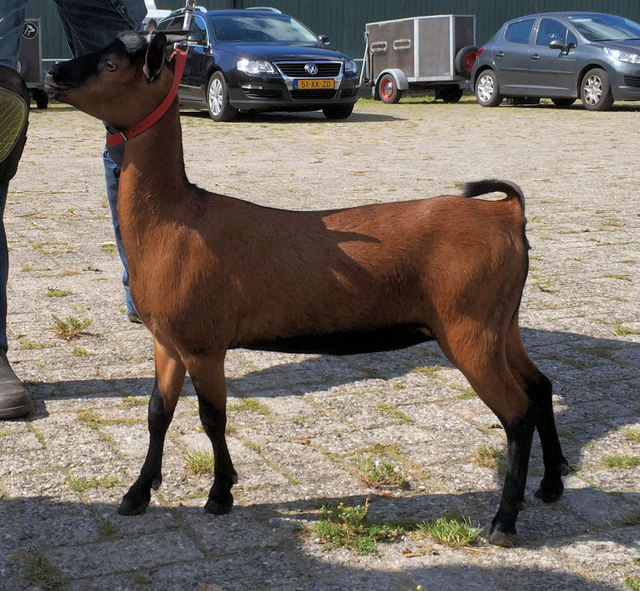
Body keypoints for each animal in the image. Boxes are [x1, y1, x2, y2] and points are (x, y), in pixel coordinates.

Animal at [45, 32, 568, 546]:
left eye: (111, 64)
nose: (55, 74)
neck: (175, 220)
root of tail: (506, 214)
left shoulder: (203, 343)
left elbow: (213, 416)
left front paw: (220, 493)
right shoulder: (166, 341)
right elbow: (158, 413)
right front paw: (138, 492)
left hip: (469, 329)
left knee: (516, 413)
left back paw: (504, 523)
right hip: (503, 323)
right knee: (539, 386)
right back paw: (551, 484)